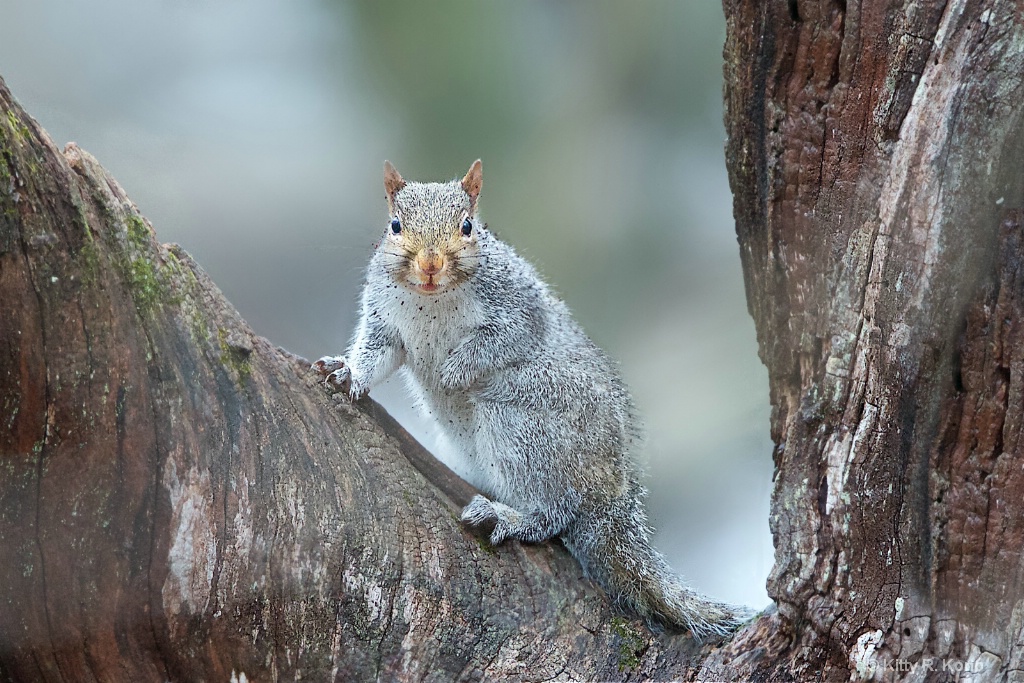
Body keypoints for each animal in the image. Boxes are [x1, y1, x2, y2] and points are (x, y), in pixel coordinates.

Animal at [315, 161, 757, 643]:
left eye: (468, 226)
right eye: (395, 225)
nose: (430, 264)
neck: (431, 299)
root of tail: (610, 491)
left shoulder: (517, 309)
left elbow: (500, 342)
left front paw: (453, 373)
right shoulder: (385, 322)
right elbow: (376, 356)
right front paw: (347, 373)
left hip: (521, 424)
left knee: (555, 512)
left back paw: (510, 518)